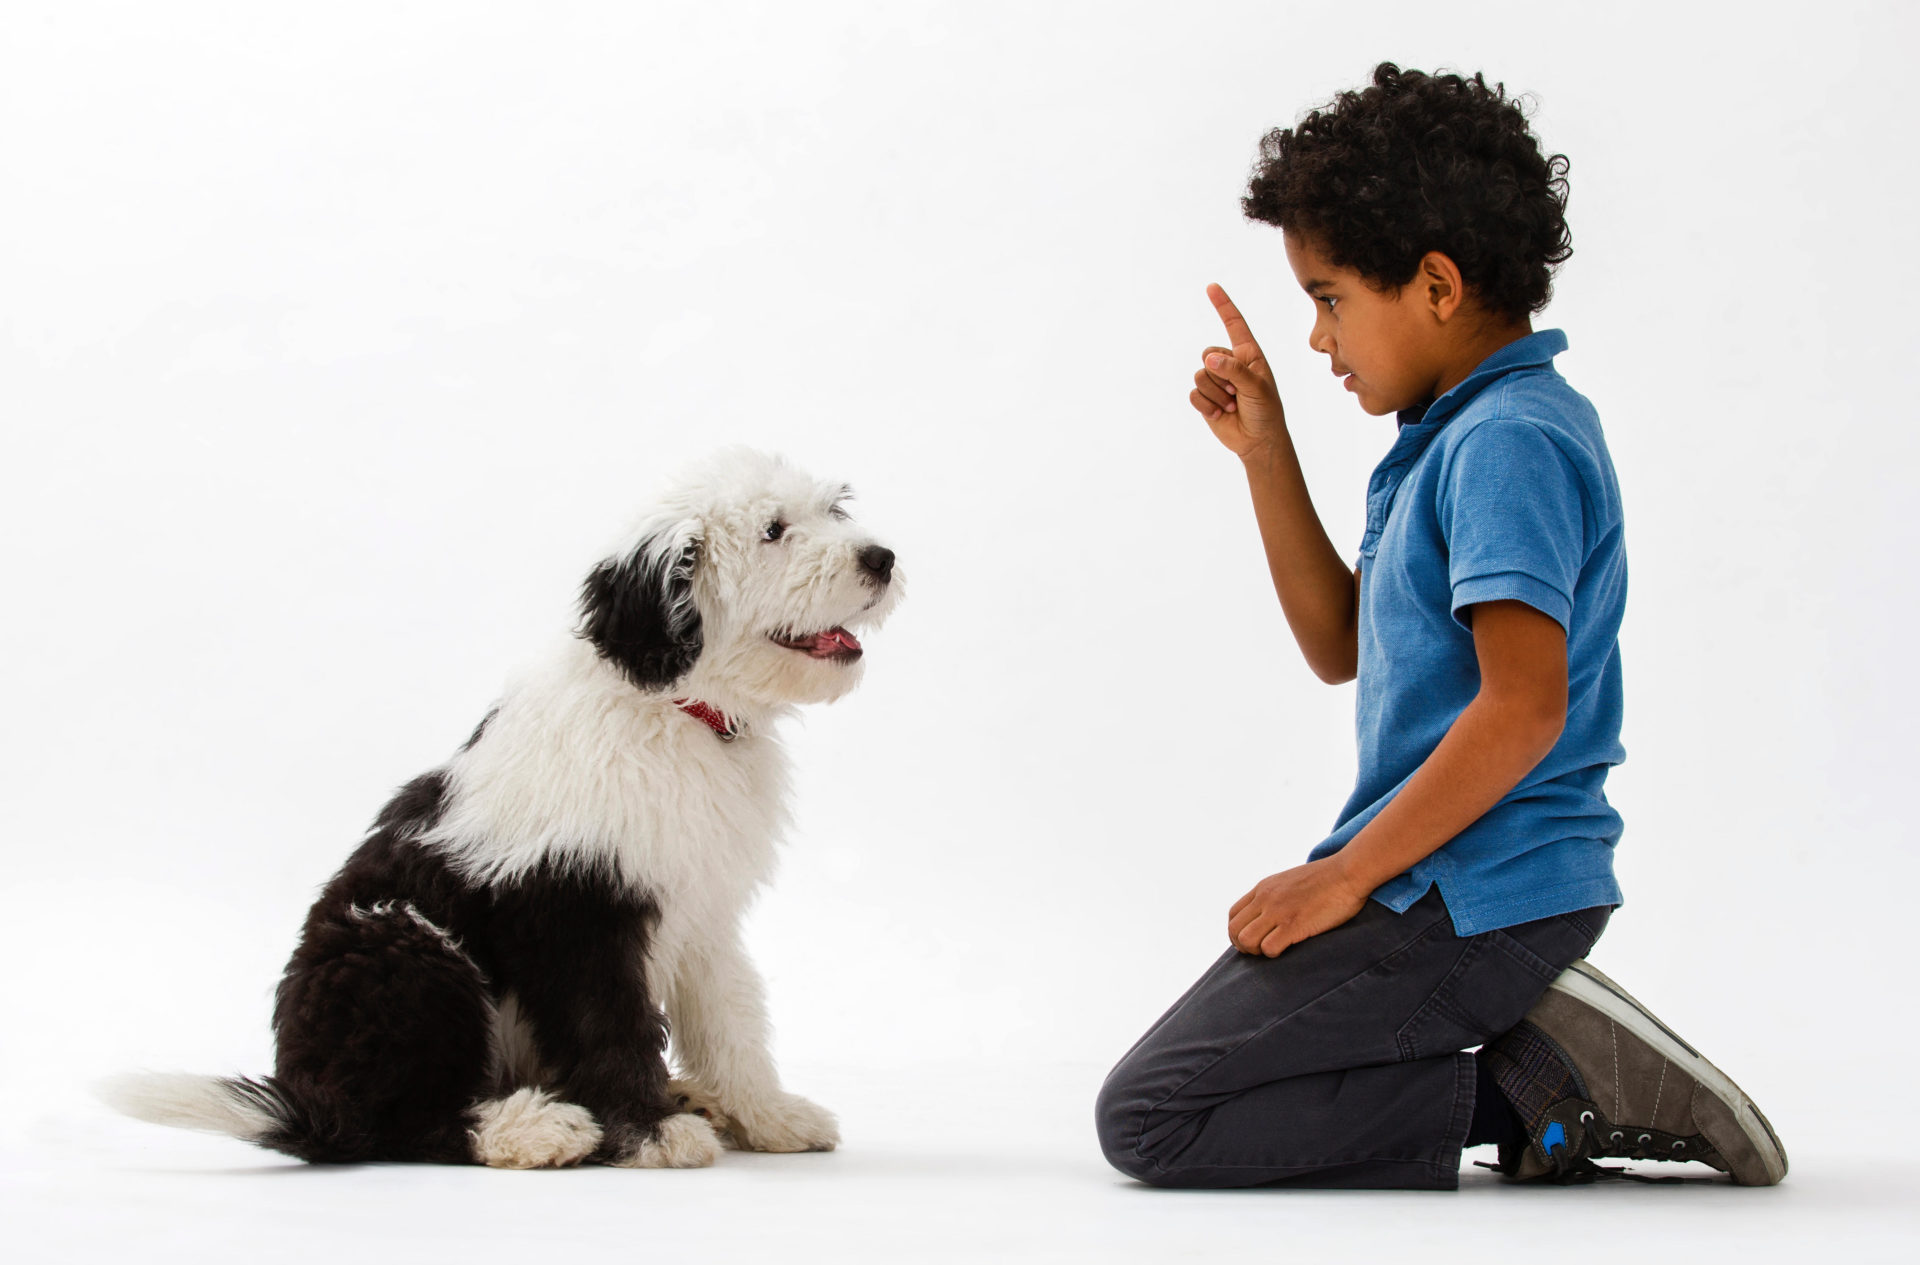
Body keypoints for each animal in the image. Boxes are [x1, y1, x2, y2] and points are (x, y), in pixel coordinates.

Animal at [105, 451, 906, 1174]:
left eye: (832, 510)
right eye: (774, 530)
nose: (883, 558)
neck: (670, 708)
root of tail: (314, 1100)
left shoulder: (703, 909)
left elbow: (731, 1018)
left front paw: (769, 1115)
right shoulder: (575, 905)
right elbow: (608, 1022)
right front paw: (650, 1132)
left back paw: (680, 1098)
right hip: (410, 952)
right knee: (403, 1121)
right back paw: (540, 1129)